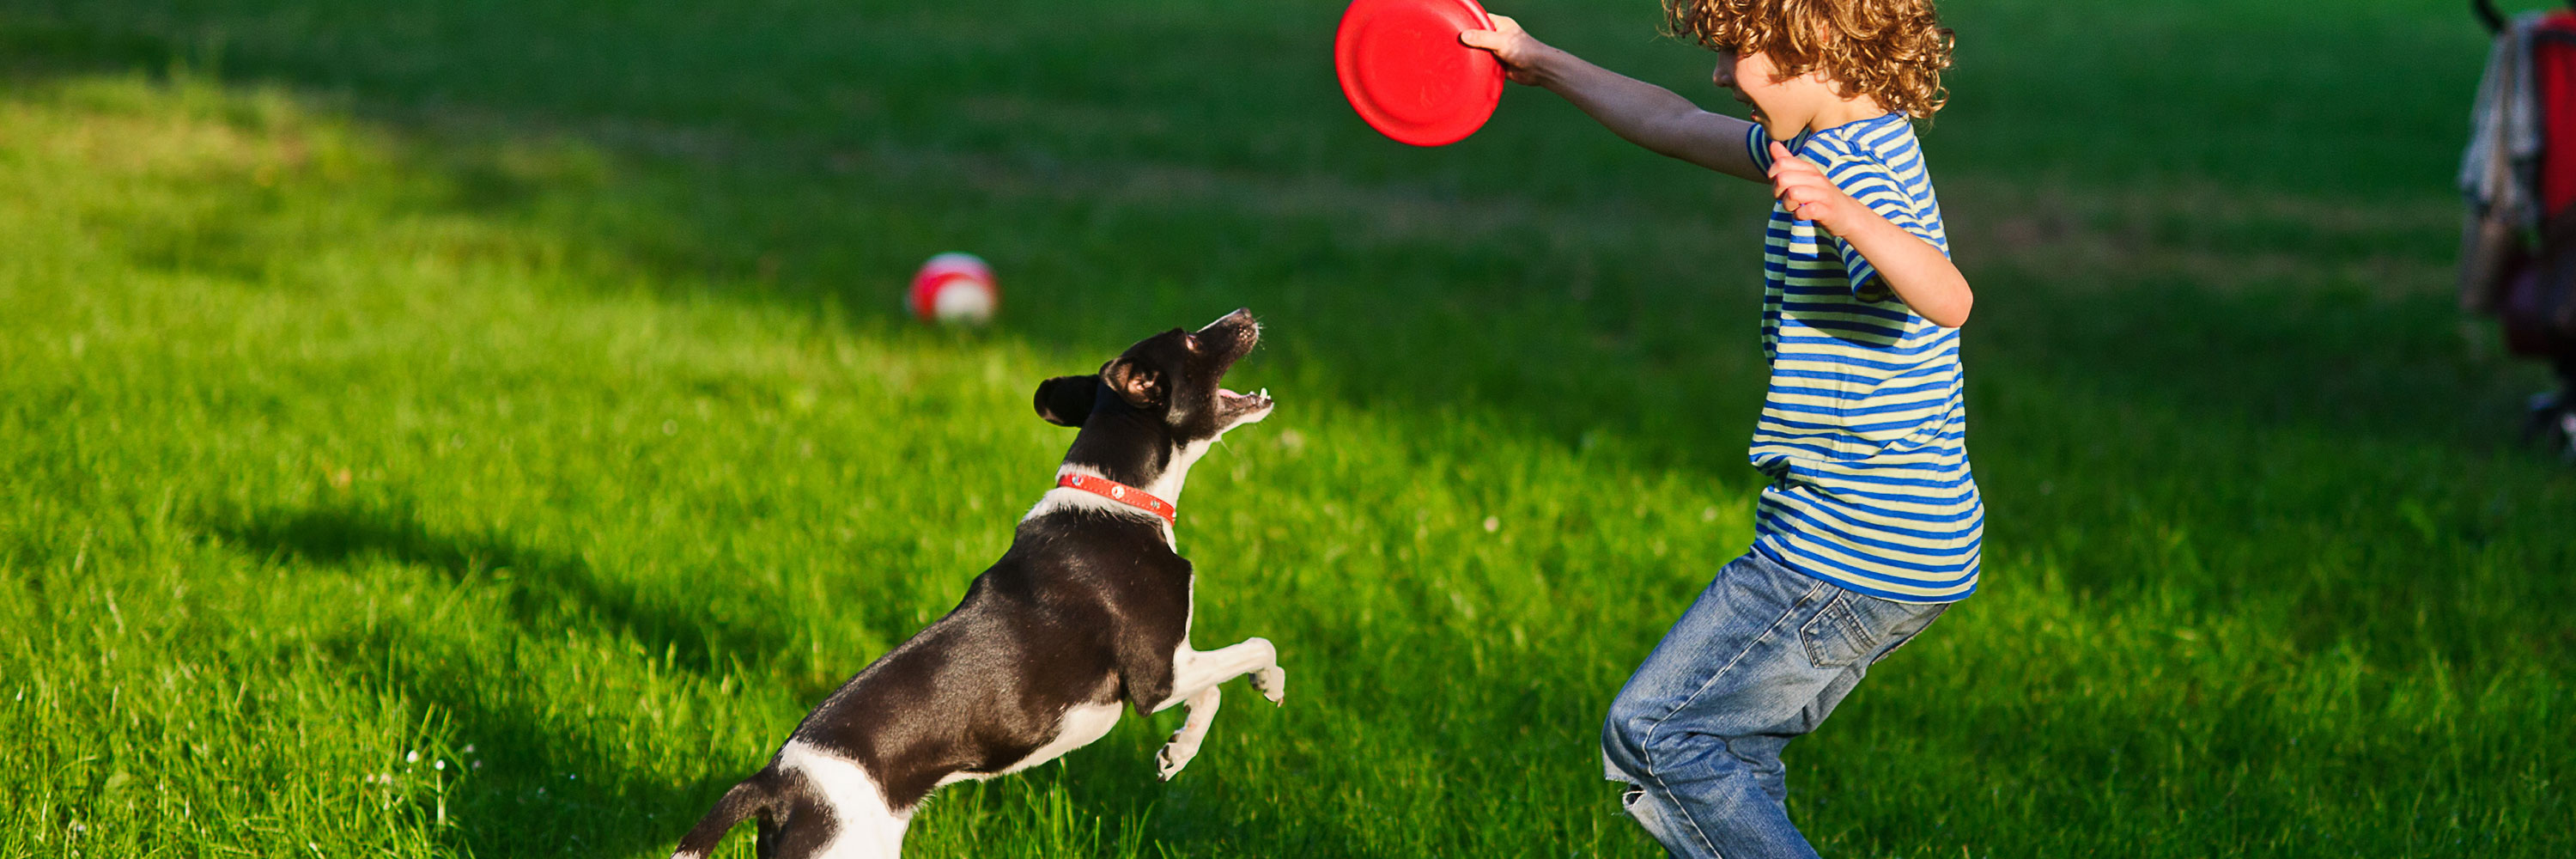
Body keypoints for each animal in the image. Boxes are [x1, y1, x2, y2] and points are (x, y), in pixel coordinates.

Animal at [675, 308, 1288, 856]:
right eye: (1190, 340)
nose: (1245, 314)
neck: (1118, 497)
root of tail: (774, 784)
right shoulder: (1157, 674)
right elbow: (1256, 648)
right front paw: (1270, 684)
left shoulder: (1175, 666)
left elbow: (1211, 689)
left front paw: (1178, 751)